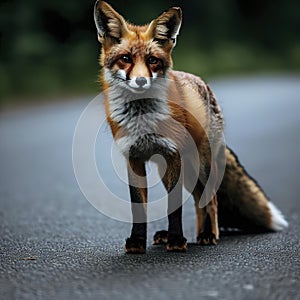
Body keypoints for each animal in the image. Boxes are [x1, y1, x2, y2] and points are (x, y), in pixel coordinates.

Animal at [92, 0, 288, 253]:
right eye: (125, 58)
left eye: (153, 60)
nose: (141, 81)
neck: (142, 118)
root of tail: (203, 83)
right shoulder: (133, 157)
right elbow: (138, 207)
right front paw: (137, 242)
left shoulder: (172, 152)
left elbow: (174, 207)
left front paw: (176, 241)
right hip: (174, 170)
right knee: (197, 201)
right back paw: (191, 234)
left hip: (202, 165)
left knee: (211, 200)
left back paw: (208, 234)